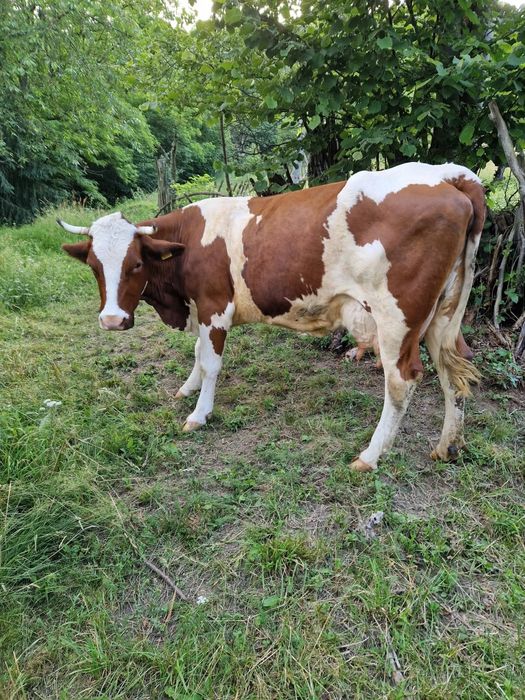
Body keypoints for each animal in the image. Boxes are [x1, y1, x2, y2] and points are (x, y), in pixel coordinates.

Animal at [58, 162, 485, 472]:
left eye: (134, 264)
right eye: (94, 266)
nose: (112, 320)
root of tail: (445, 174)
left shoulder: (215, 306)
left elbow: (210, 362)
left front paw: (199, 413)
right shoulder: (200, 308)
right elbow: (197, 354)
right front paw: (187, 388)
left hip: (398, 317)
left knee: (403, 379)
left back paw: (370, 456)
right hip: (444, 314)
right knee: (454, 369)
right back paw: (448, 446)